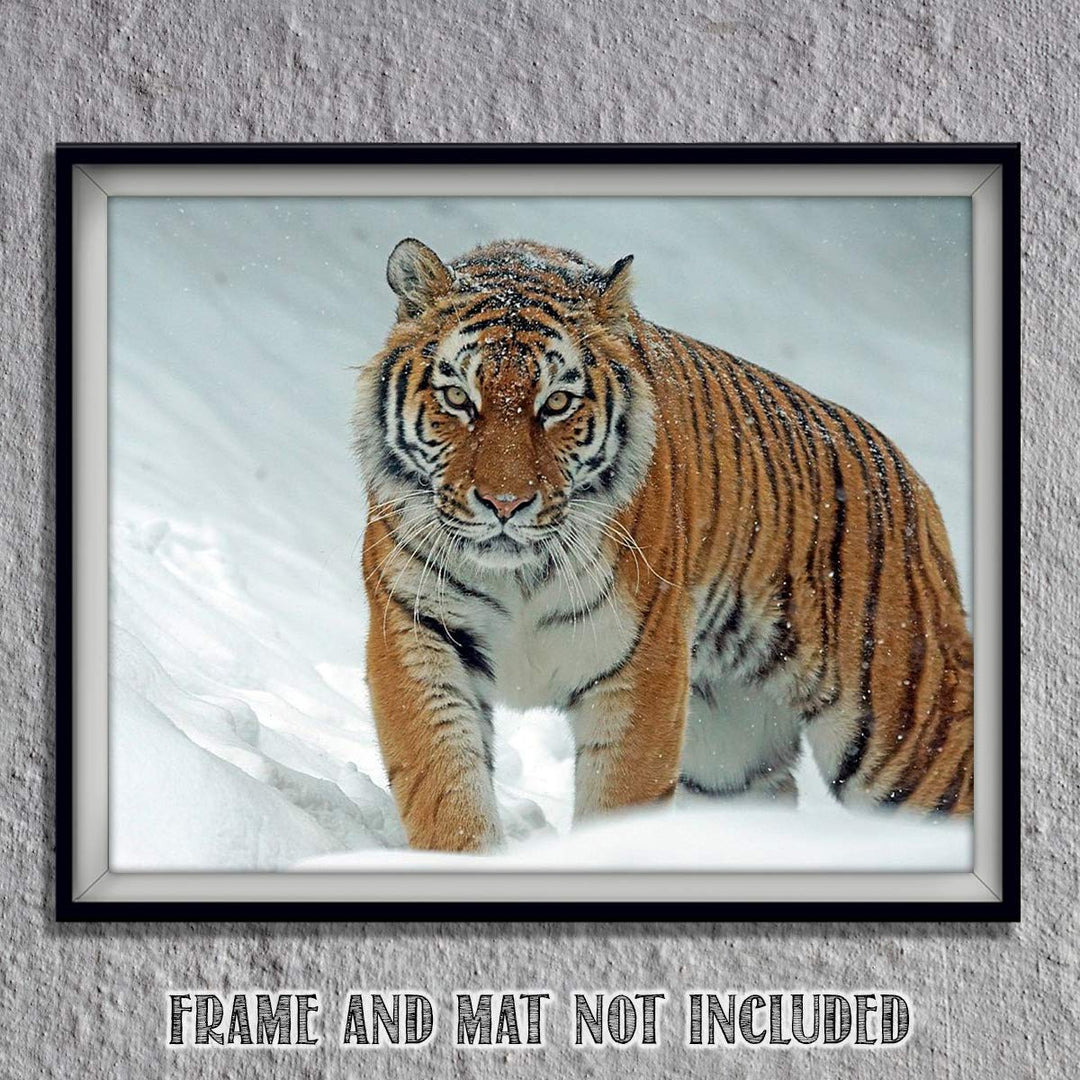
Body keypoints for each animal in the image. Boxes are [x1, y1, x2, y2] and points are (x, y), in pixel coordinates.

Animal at [352, 236, 974, 853]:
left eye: (556, 404)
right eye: (459, 397)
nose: (505, 504)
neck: (519, 575)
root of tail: (912, 481)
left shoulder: (641, 666)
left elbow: (619, 799)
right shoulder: (419, 633)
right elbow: (446, 788)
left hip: (909, 737)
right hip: (728, 755)